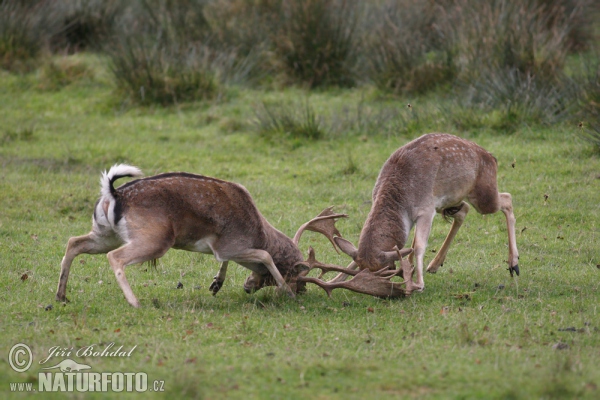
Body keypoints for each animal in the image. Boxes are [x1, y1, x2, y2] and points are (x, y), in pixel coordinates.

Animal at [57, 164, 352, 308]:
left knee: (73, 242)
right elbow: (264, 255)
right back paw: (135, 302)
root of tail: (113, 193)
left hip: (105, 233)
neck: (257, 230)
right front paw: (285, 292)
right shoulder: (232, 245)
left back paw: (61, 296)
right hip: (155, 239)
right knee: (114, 257)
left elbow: (224, 261)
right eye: (295, 275)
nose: (301, 290)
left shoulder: (222, 248)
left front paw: (216, 284)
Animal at [302, 133, 516, 296]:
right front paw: (336, 278)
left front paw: (418, 284)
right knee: (464, 210)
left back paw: (514, 264)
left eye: (386, 272)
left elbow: (419, 246)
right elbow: (407, 245)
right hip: (451, 201)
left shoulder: (426, 209)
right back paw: (435, 264)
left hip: (484, 196)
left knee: (507, 198)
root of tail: (492, 157)